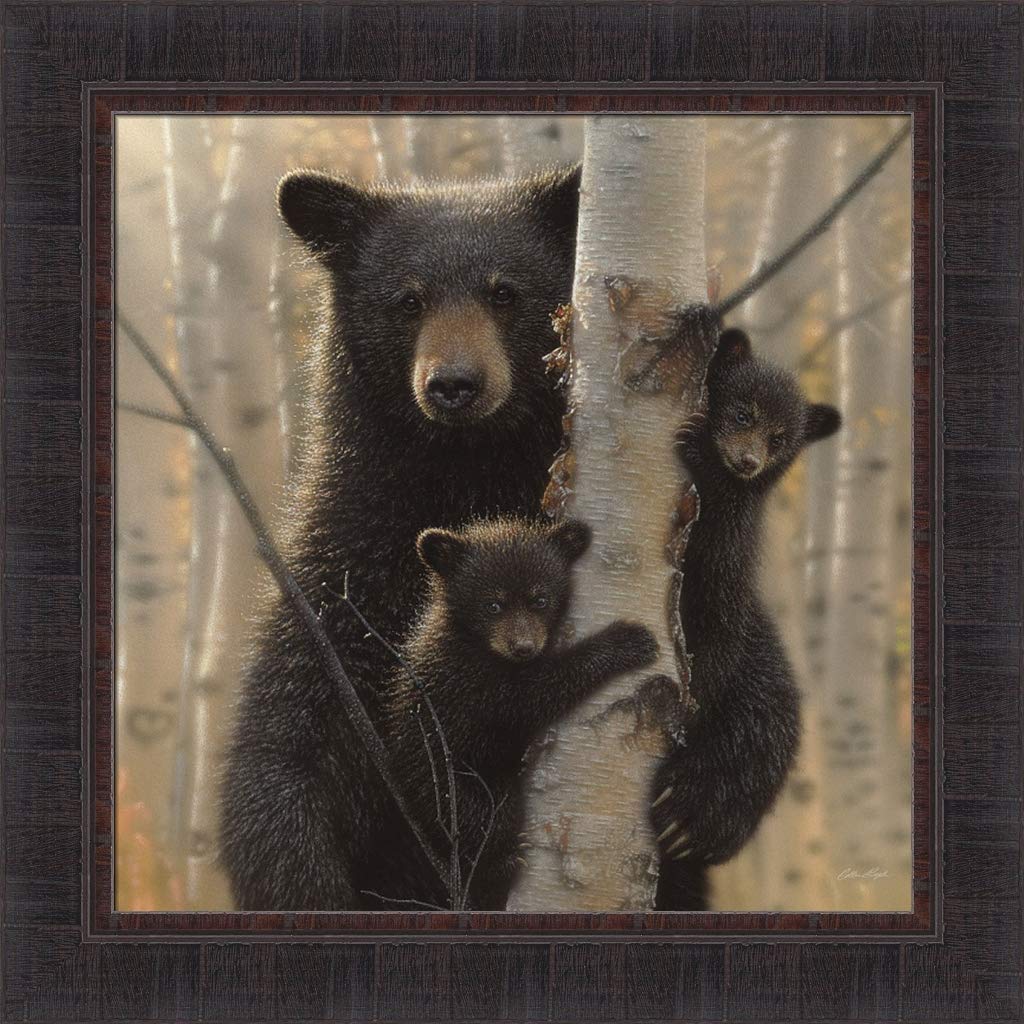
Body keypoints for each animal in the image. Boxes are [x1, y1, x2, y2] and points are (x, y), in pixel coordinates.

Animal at [218, 167, 583, 910]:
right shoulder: (347, 578)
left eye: (505, 292)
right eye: (408, 301)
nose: (455, 384)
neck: (465, 478)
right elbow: (285, 749)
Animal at [358, 517, 659, 911]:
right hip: (448, 784)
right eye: (493, 605)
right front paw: (627, 641)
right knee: (483, 819)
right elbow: (530, 696)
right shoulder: (469, 679)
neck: (474, 640)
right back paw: (501, 863)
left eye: (540, 599)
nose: (523, 647)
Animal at [650, 327, 841, 911]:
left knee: (756, 740)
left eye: (780, 438)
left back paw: (688, 817)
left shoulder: (727, 563)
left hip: (763, 691)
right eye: (741, 413)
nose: (749, 461)